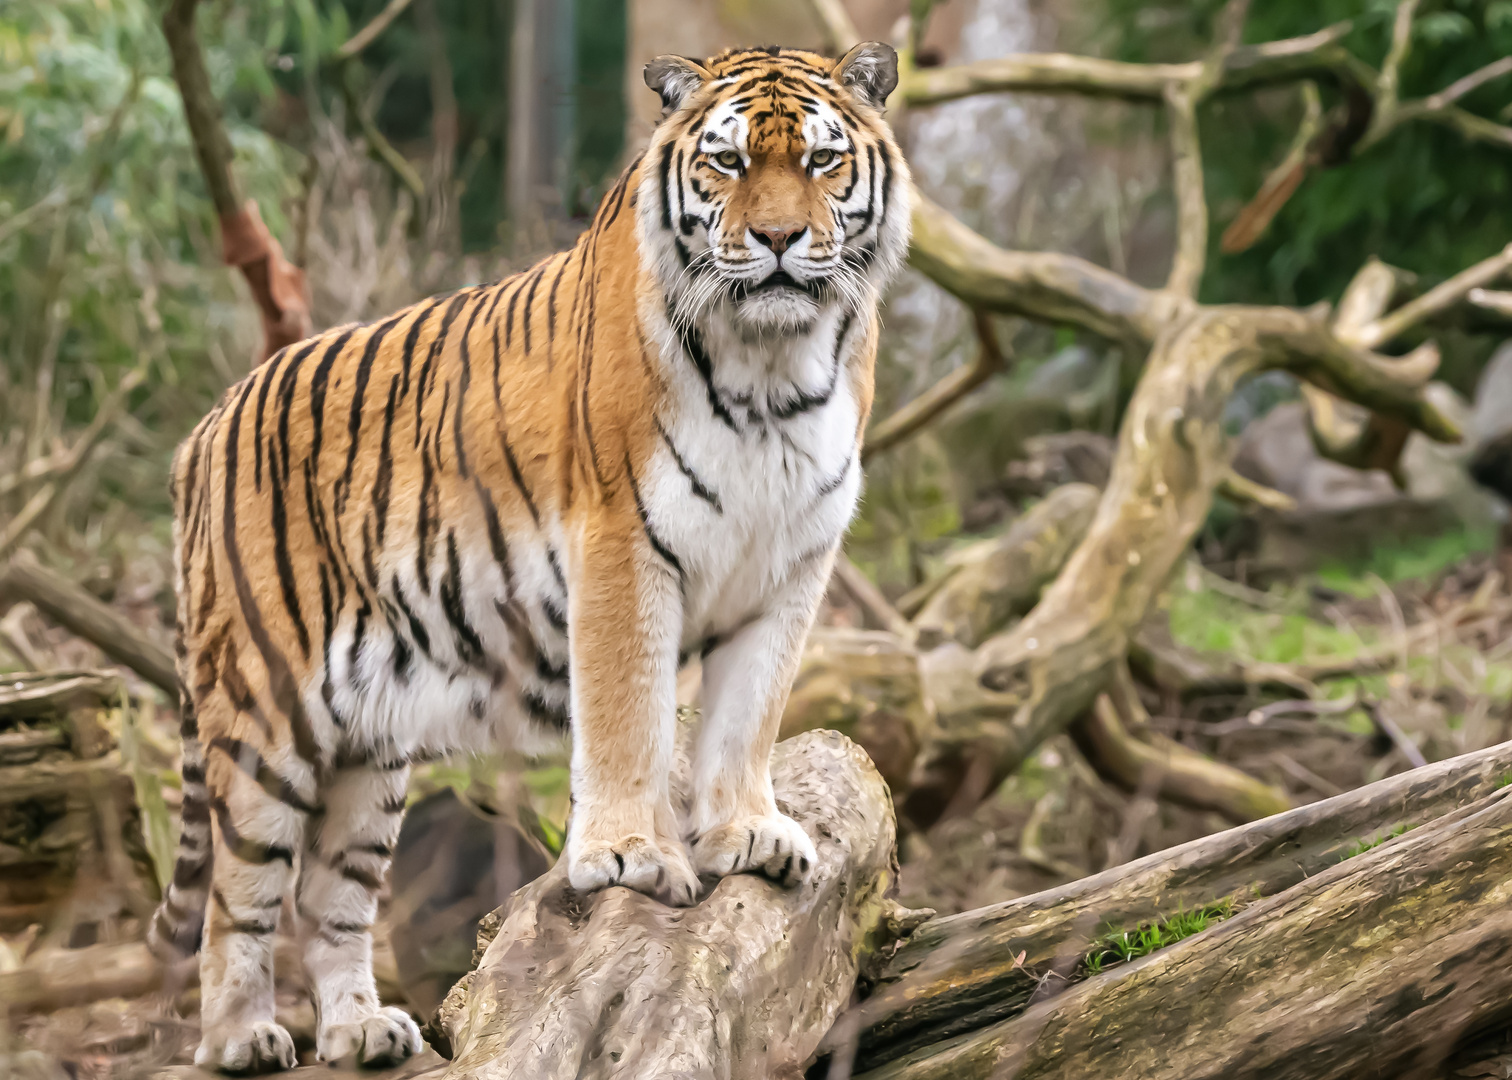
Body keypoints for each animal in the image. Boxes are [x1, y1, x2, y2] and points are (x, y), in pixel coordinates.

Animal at [147, 37, 907, 1064]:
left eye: (824, 162)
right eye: (729, 161)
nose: (782, 239)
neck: (775, 364)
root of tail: (207, 423)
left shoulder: (790, 567)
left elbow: (748, 717)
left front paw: (749, 835)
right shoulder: (625, 545)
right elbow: (629, 714)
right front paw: (628, 856)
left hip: (370, 749)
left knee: (331, 894)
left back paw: (360, 1030)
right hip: (266, 709)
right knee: (241, 891)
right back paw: (241, 1038)